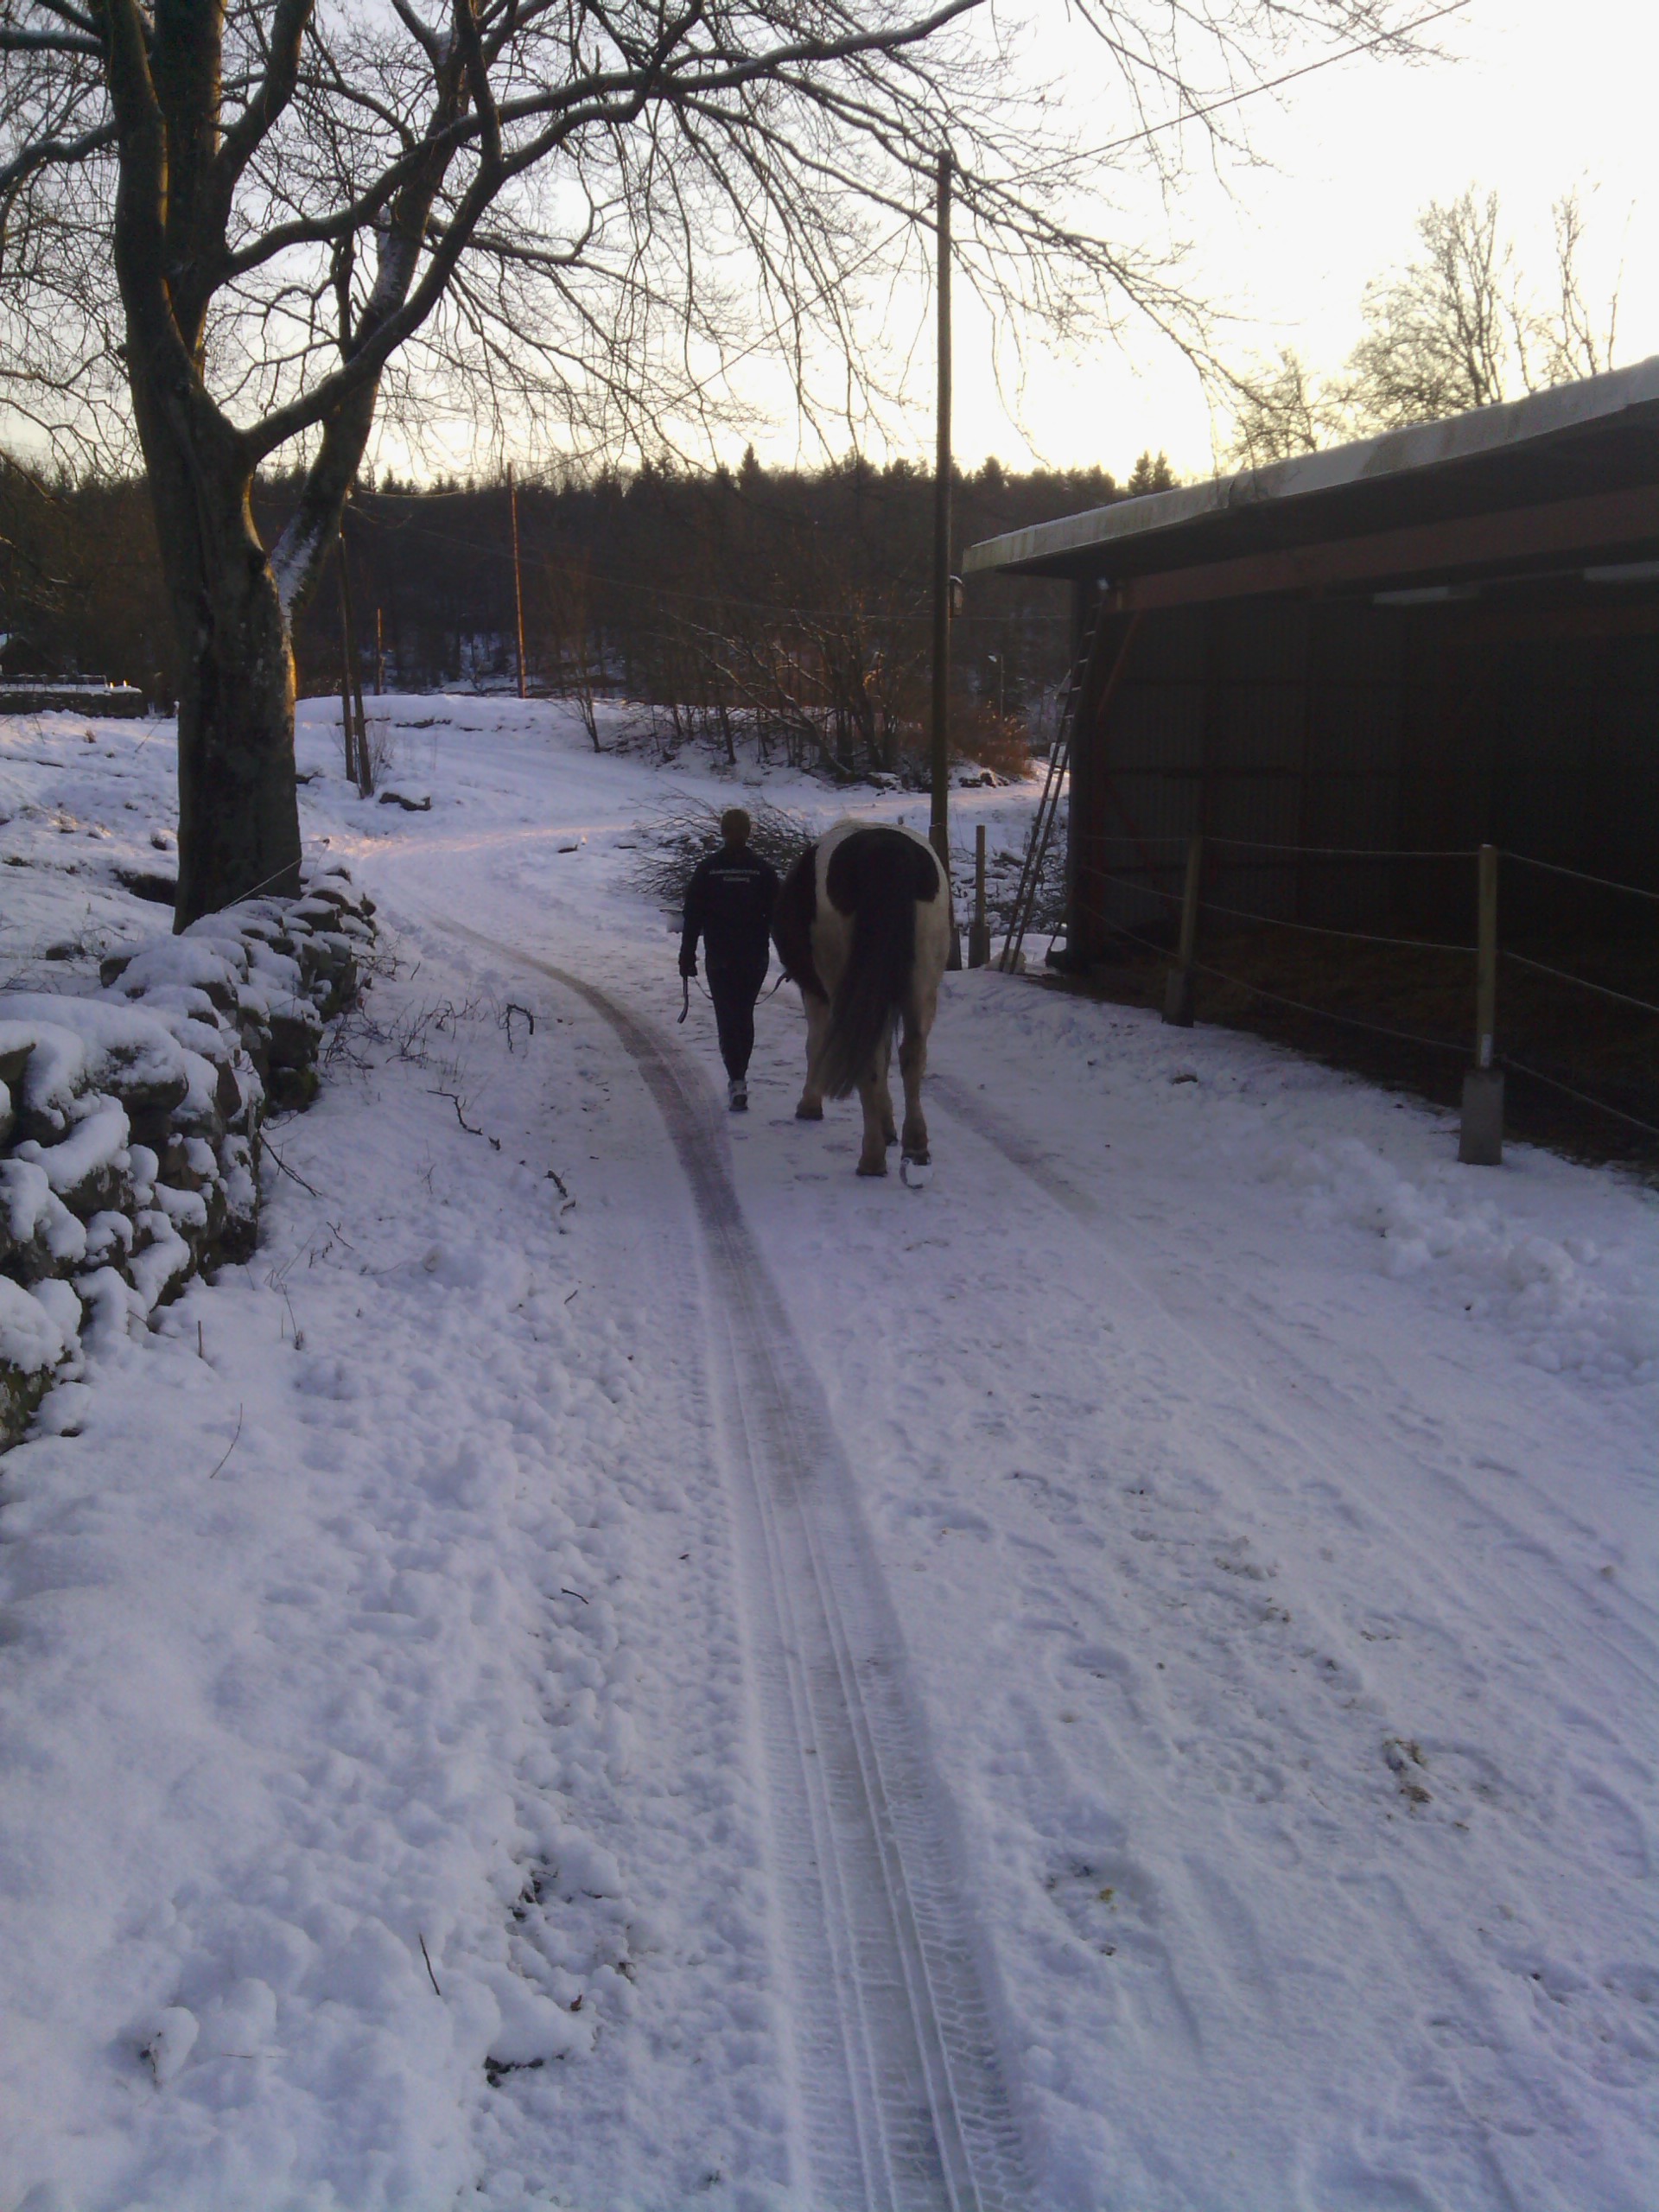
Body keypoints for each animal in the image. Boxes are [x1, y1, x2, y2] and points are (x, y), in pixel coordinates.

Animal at [771, 819, 952, 1181]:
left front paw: (810, 1105)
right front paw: (889, 1126)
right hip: (921, 983)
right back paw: (915, 1146)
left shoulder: (817, 996)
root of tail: (885, 852)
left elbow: (816, 1046)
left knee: (866, 1058)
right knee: (912, 1053)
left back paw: (871, 1158)